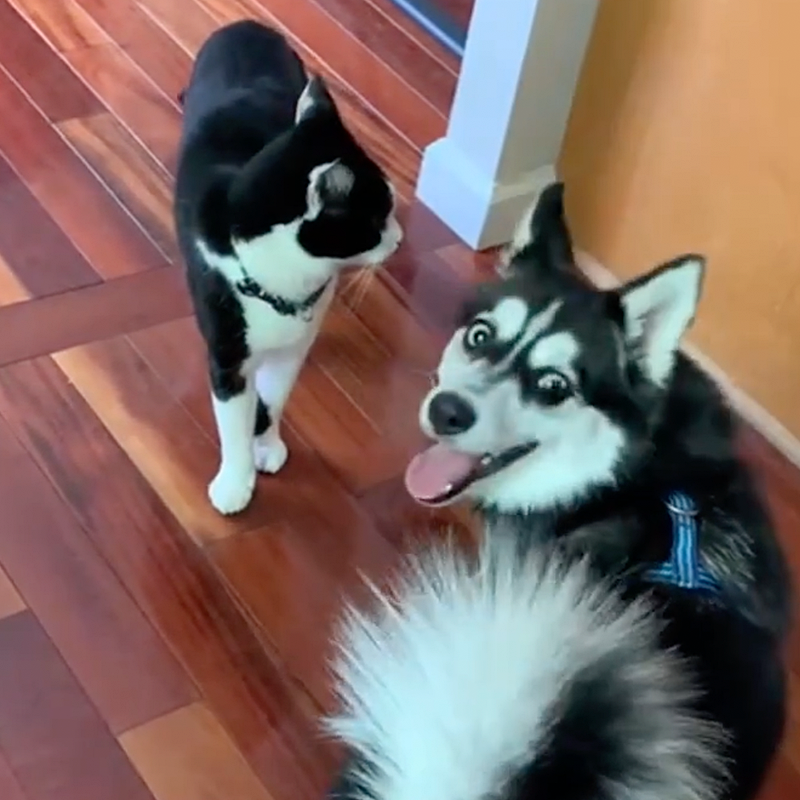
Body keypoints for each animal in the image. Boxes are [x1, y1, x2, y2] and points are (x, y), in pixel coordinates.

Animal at [174, 23, 400, 520]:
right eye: (375, 220)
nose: (399, 239)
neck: (283, 283)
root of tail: (245, 25)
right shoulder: (228, 350)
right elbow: (232, 420)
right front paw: (235, 484)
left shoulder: (297, 343)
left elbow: (274, 397)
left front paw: (267, 445)